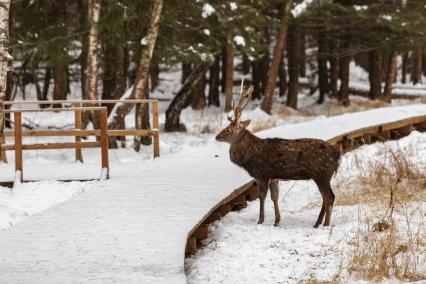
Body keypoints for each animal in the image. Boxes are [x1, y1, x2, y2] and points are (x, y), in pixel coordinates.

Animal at [216, 81, 340, 227]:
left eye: (228, 130)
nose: (217, 136)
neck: (248, 155)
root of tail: (337, 154)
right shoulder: (274, 177)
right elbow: (275, 196)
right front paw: (277, 220)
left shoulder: (262, 174)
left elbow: (262, 196)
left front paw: (260, 220)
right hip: (323, 175)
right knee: (325, 198)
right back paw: (317, 223)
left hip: (322, 173)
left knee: (330, 197)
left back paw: (325, 224)